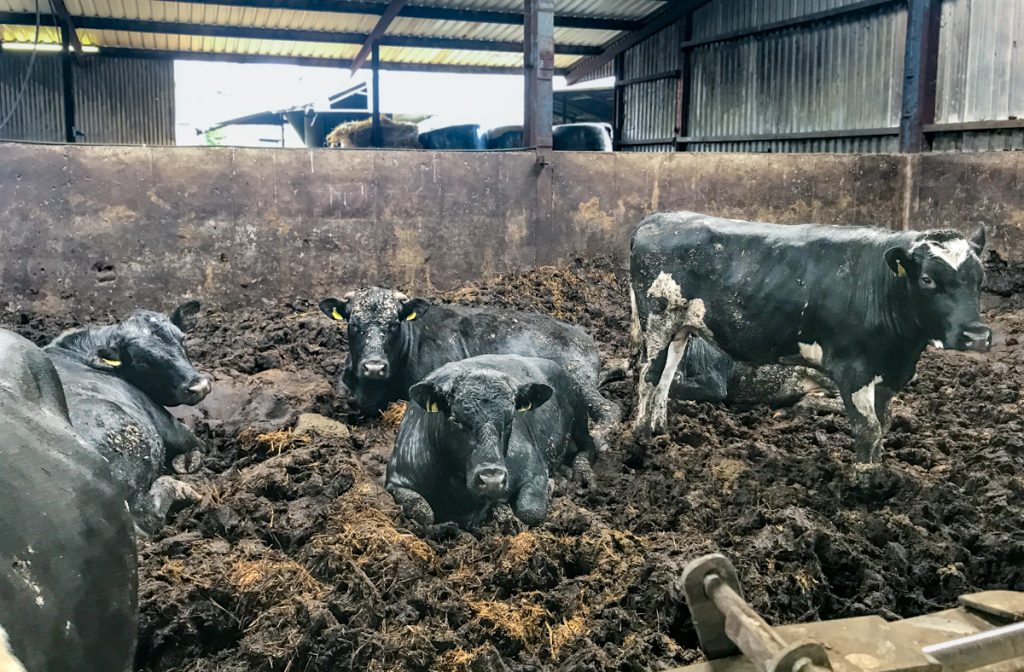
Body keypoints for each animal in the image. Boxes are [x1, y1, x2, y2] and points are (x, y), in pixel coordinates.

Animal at [43, 301, 213, 534]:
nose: (199, 386)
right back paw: (182, 488)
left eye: (182, 338)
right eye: (141, 361)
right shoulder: (166, 423)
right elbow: (197, 444)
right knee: (147, 516)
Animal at [318, 287, 620, 452]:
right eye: (353, 323)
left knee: (608, 408)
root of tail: (581, 334)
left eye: (394, 323)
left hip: (578, 379)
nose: (373, 367)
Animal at [386, 354, 594, 527]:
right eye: (456, 419)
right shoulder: (396, 480)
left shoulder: (534, 466)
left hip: (580, 415)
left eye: (510, 419)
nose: (492, 480)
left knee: (590, 446)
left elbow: (530, 512)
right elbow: (425, 513)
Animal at [630, 212, 991, 463]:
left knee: (667, 375)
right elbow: (868, 429)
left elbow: (884, 424)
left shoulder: (886, 373)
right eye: (927, 279)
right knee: (649, 377)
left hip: (682, 327)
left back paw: (660, 431)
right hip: (658, 319)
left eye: (980, 278)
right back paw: (639, 438)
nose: (977, 335)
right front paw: (867, 483)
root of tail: (656, 219)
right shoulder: (853, 369)